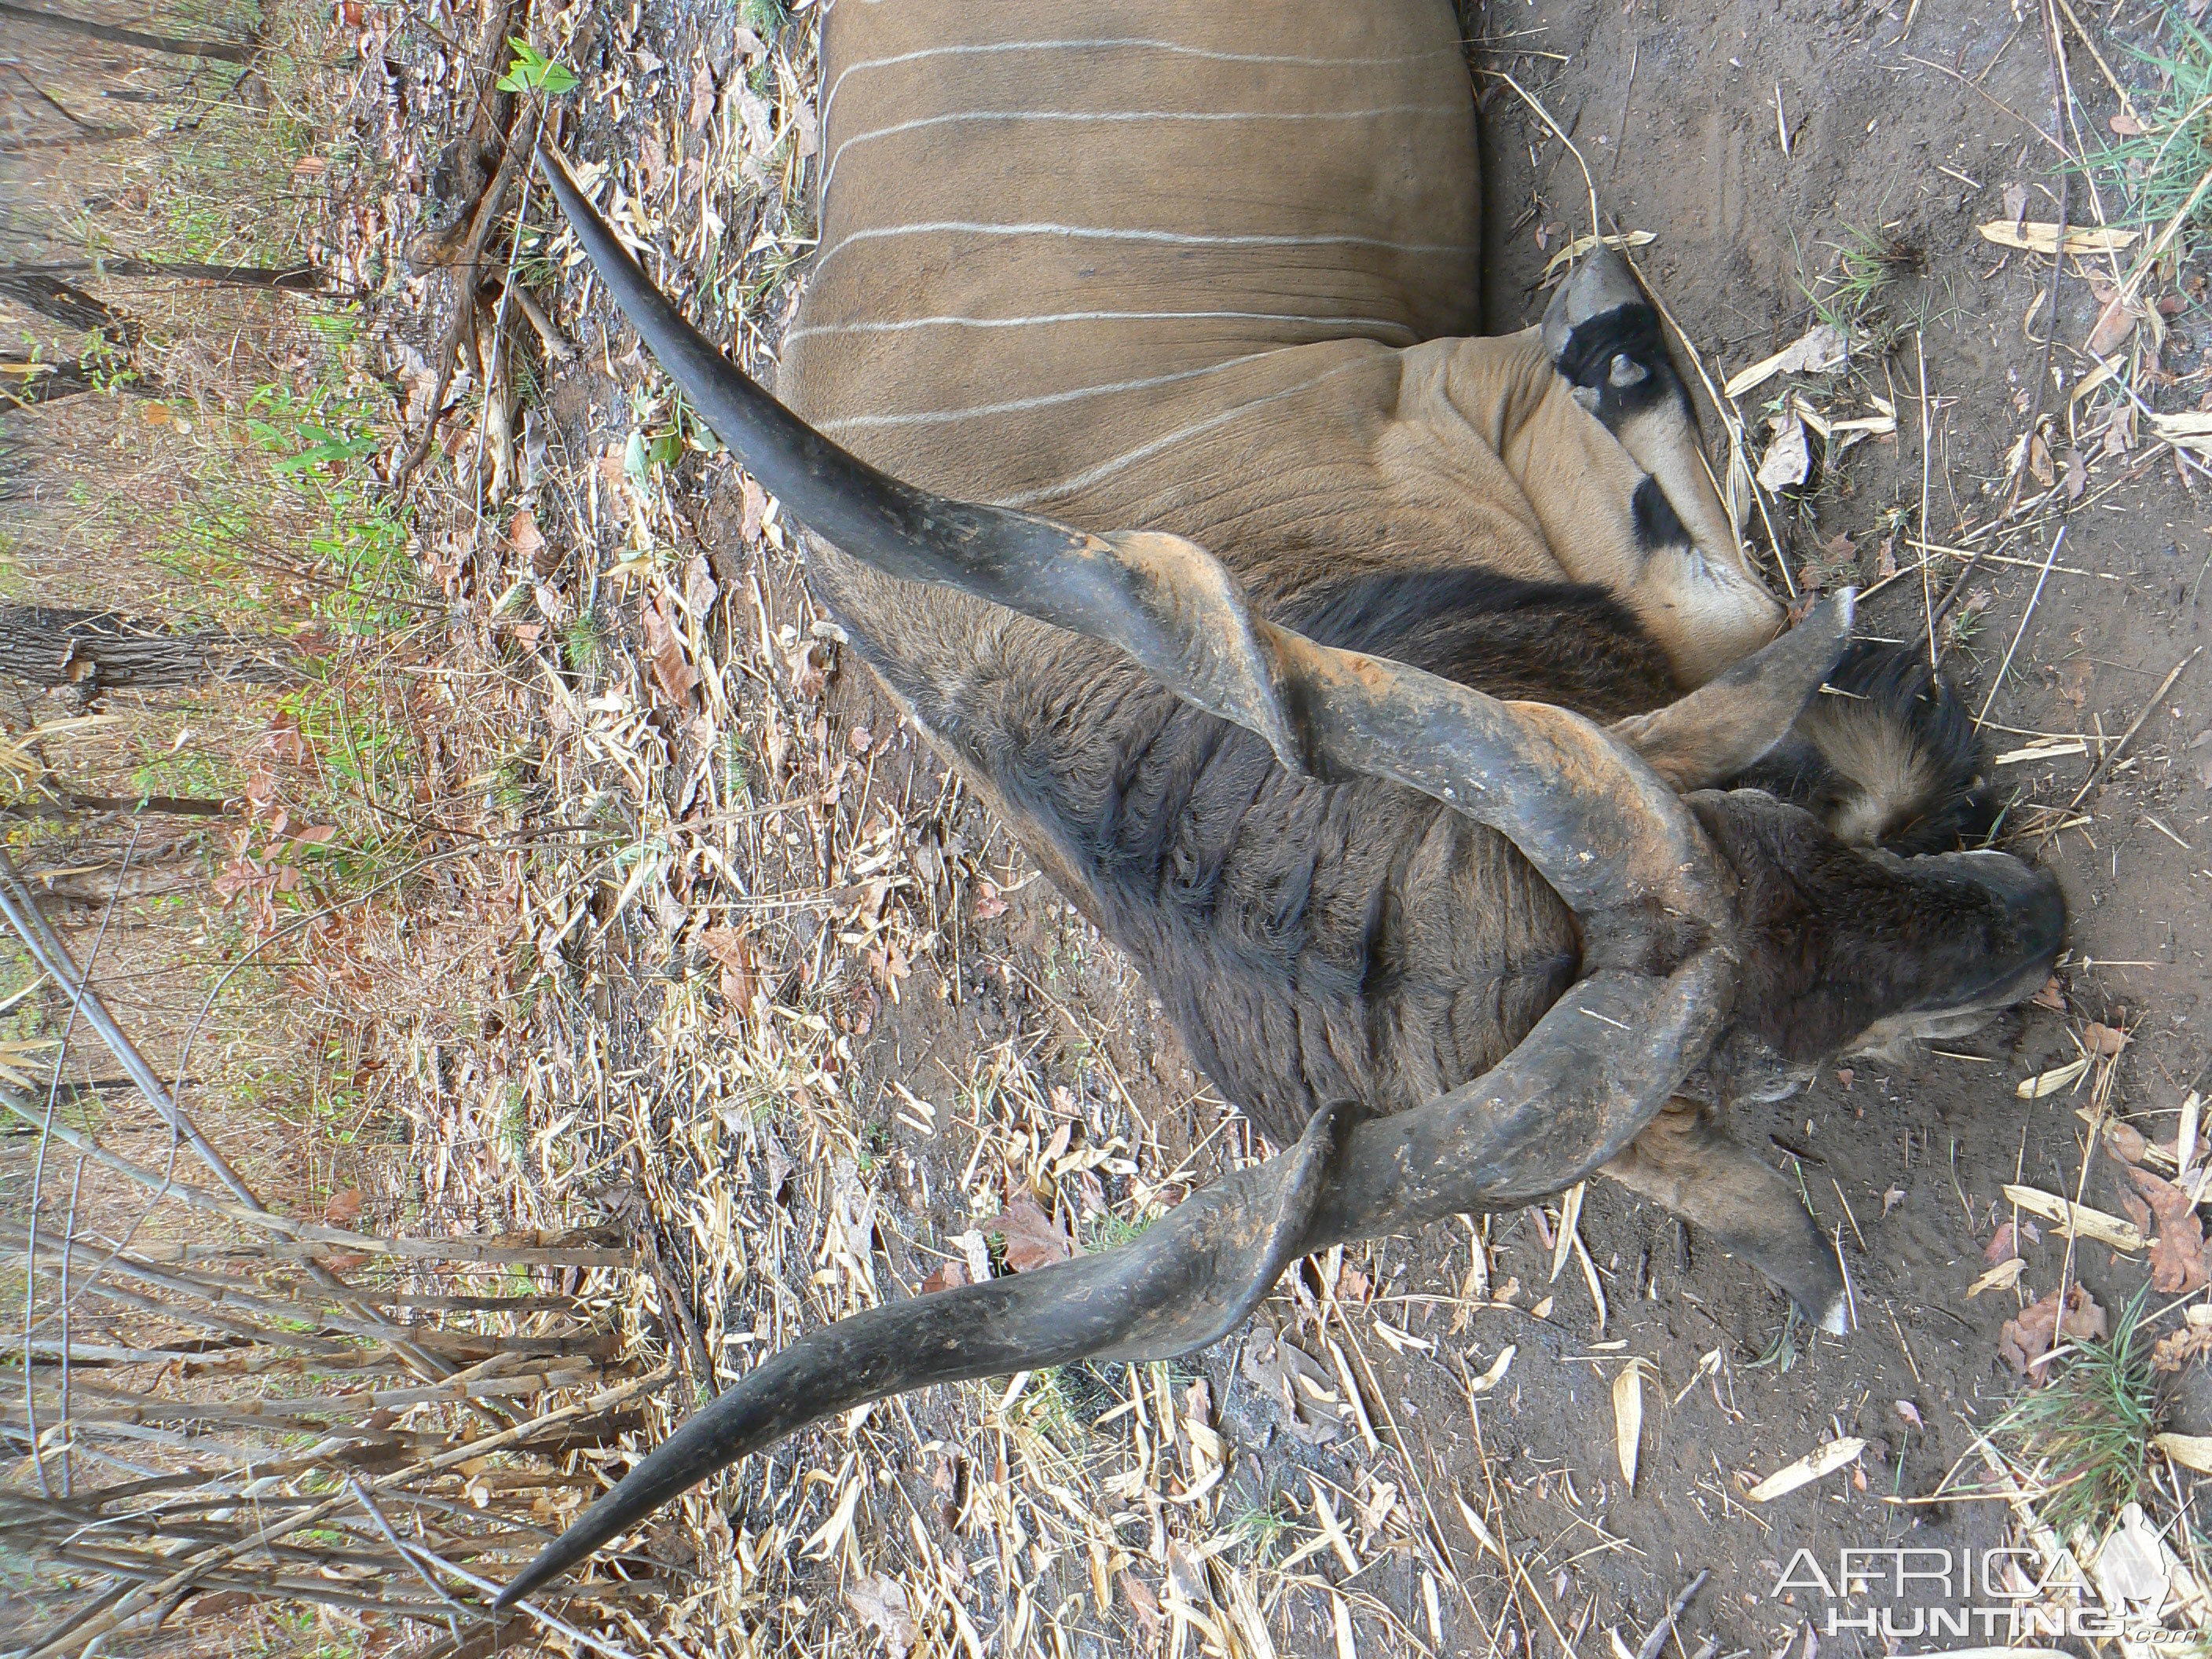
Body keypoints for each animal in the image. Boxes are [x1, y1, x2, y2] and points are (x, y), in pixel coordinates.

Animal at [497, 0, 2053, 1610]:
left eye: (1779, 843)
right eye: (1768, 1077)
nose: (2035, 925)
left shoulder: (1474, 393)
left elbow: (1686, 504)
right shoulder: (1490, 412)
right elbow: (1705, 556)